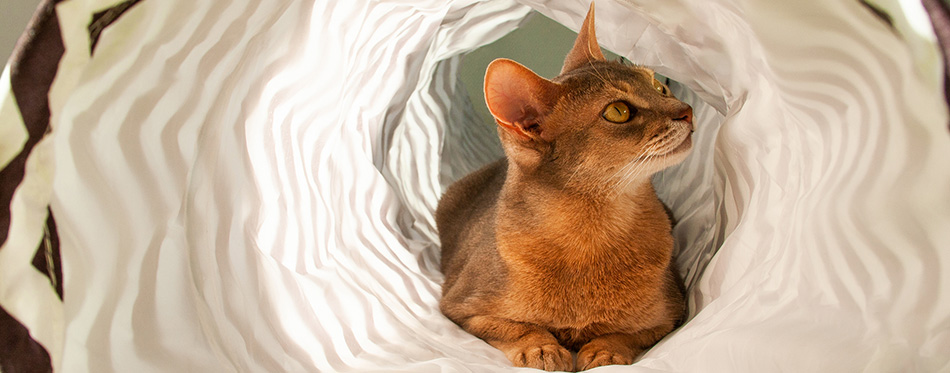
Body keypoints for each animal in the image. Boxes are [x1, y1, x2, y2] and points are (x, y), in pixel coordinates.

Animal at [438, 2, 692, 370]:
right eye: (618, 111)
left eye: (659, 87)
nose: (687, 110)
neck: (589, 232)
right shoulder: (460, 306)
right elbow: (516, 326)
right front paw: (541, 348)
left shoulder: (672, 312)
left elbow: (628, 332)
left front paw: (605, 350)